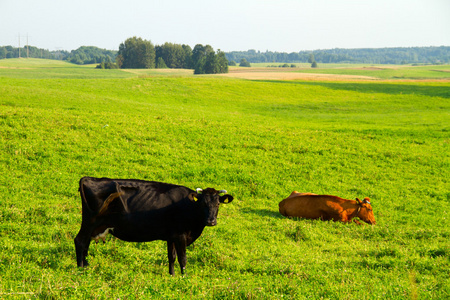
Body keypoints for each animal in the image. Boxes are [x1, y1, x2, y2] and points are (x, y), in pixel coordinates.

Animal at [74, 177, 234, 276]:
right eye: (203, 203)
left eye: (217, 204)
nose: (211, 221)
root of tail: (88, 178)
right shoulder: (181, 236)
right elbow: (182, 259)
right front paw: (184, 278)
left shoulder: (172, 236)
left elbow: (171, 257)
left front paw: (172, 275)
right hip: (90, 221)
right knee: (80, 241)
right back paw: (80, 269)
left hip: (94, 226)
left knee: (85, 243)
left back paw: (86, 266)